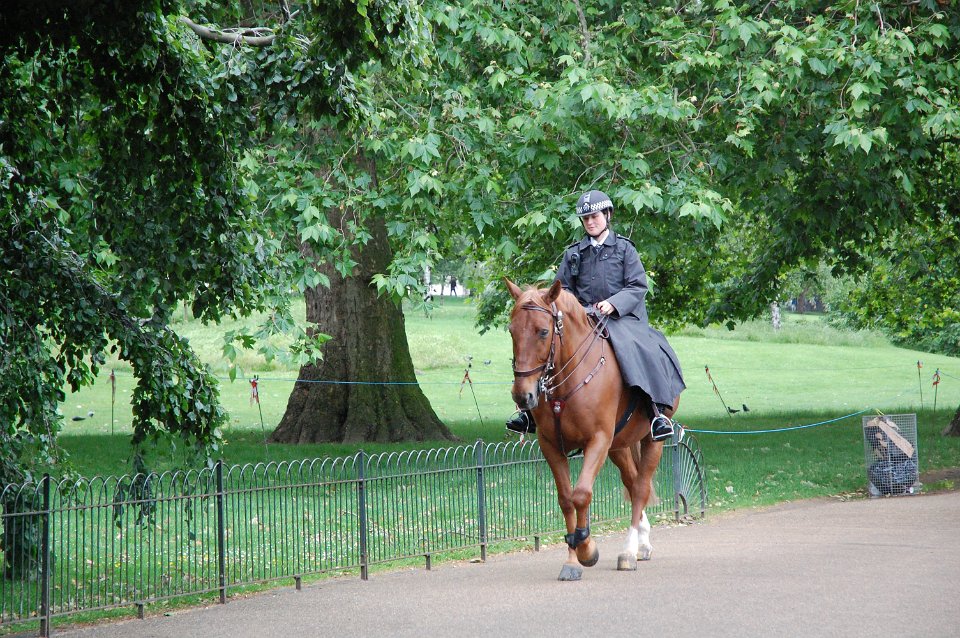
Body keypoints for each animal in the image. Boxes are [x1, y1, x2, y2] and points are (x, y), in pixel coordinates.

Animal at [505, 277, 679, 581]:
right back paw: (642, 542)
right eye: (512, 330)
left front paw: (587, 548)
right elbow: (566, 500)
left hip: (651, 441)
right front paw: (572, 560)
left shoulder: (597, 440)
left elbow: (582, 494)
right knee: (632, 482)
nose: (522, 395)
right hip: (619, 446)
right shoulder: (552, 445)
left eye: (543, 331)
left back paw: (629, 551)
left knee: (641, 488)